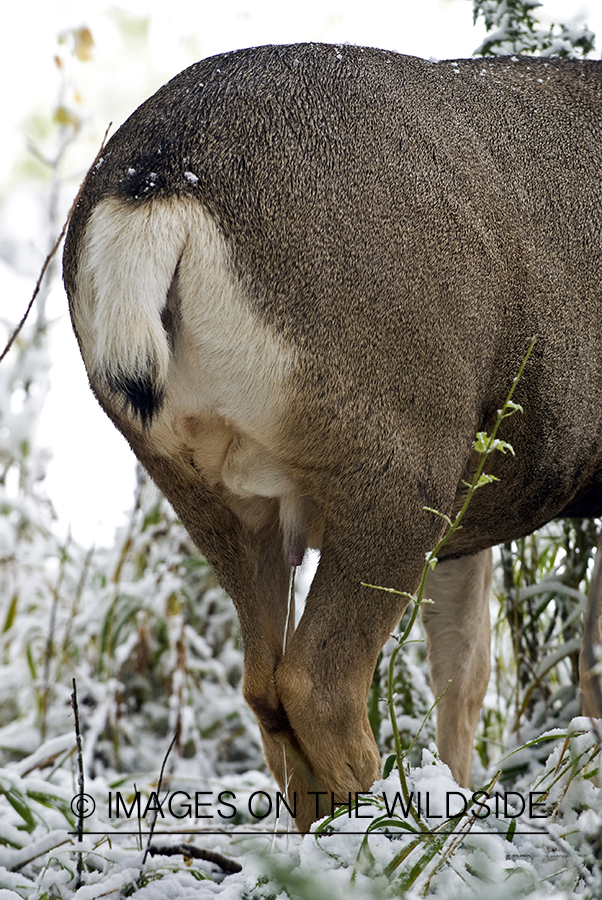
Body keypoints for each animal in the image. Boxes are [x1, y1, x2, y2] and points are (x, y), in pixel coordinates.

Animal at [62, 43, 602, 832]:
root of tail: (157, 176)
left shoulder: (471, 525)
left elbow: (464, 666)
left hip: (200, 481)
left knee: (264, 683)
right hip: (402, 457)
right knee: (318, 683)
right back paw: (390, 825)